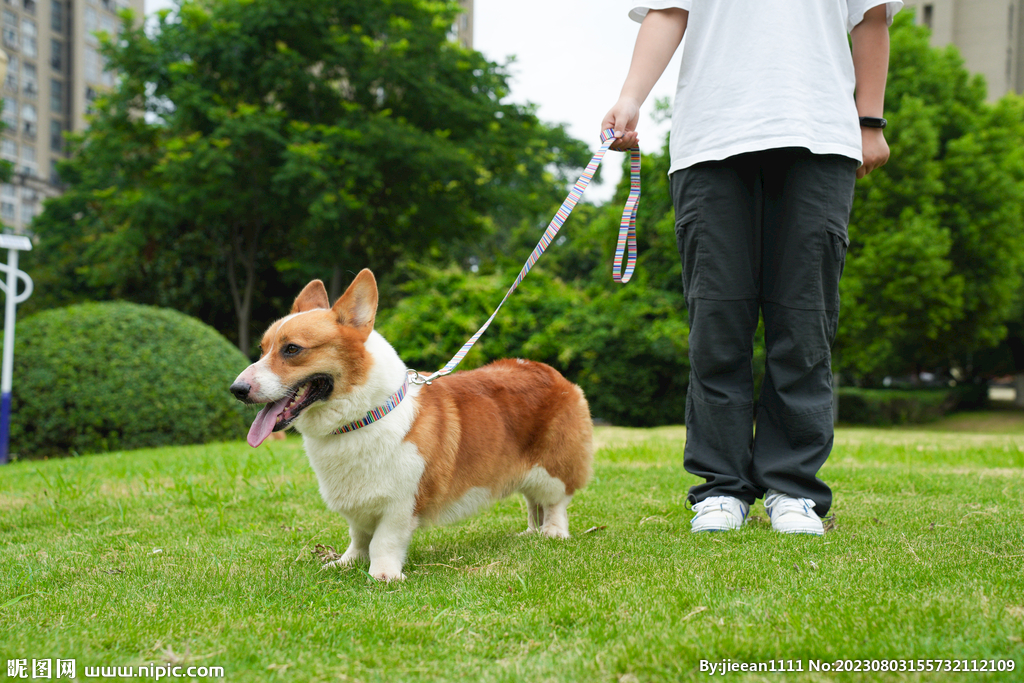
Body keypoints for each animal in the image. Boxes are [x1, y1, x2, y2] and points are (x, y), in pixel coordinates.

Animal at [224, 270, 593, 581]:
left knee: (554, 501)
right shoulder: (358, 503)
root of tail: (549, 371)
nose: (236, 390)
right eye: (262, 349)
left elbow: (383, 541)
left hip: (551, 467)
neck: (362, 417)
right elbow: (358, 536)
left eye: (292, 349)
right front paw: (347, 562)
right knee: (533, 502)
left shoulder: (401, 502)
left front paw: (383, 575)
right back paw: (531, 532)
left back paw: (552, 533)